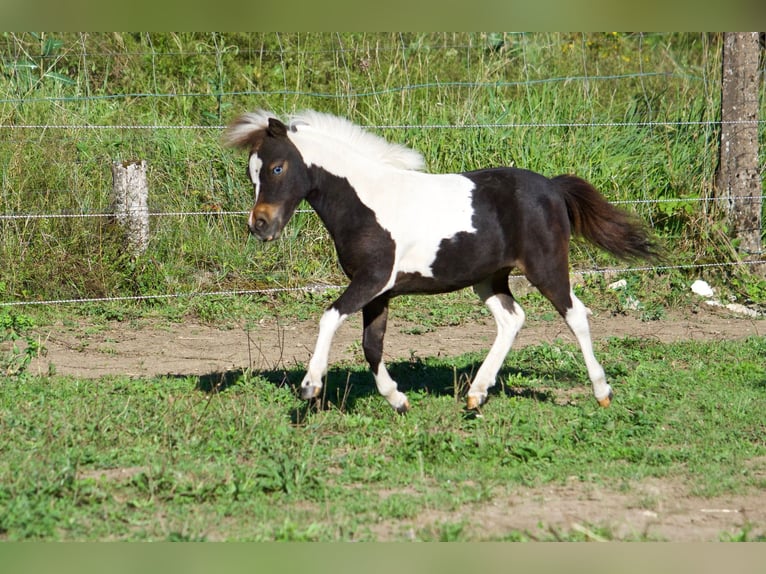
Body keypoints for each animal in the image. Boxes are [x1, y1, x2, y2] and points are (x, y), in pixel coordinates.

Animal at [224, 110, 660, 414]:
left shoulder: (372, 279)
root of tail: (553, 187)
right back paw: (476, 394)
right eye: (251, 174)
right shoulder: (379, 292)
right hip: (489, 278)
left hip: (546, 267)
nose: (259, 226)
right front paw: (398, 400)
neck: (367, 203)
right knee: (512, 319)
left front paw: (310, 386)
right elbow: (372, 347)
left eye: (277, 168)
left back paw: (602, 393)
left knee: (576, 315)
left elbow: (330, 317)